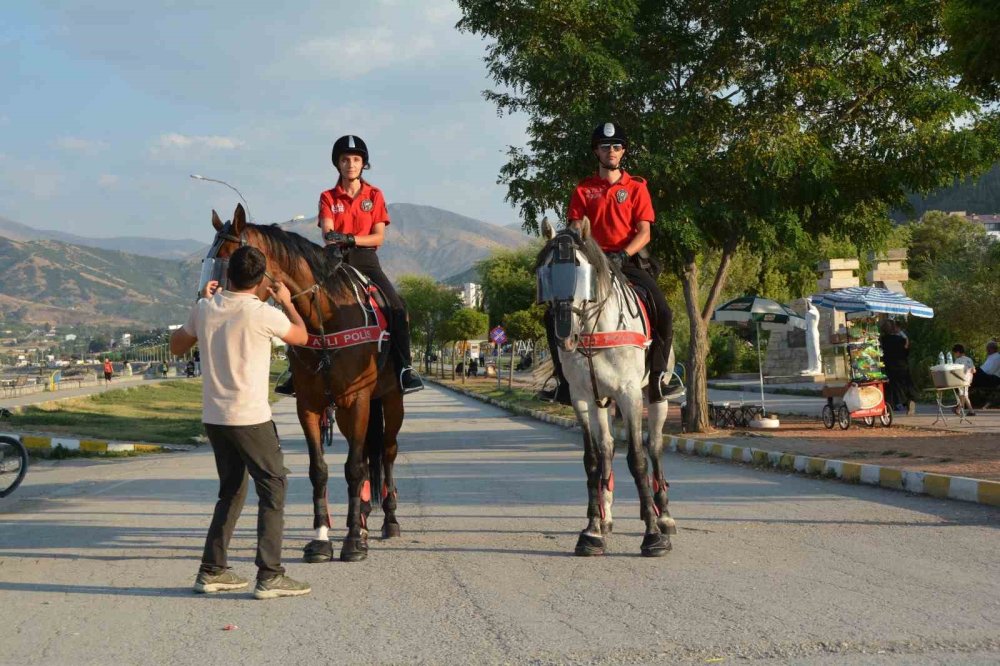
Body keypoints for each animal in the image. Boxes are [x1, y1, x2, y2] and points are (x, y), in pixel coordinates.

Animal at [209, 202, 404, 560]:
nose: (211, 301)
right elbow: (320, 470)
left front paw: (352, 541)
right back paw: (365, 519)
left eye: (229, 261)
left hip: (389, 400)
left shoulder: (357, 401)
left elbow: (354, 468)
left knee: (387, 452)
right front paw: (323, 538)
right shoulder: (310, 406)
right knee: (368, 455)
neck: (325, 317)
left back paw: (389, 520)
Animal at [540, 218, 680, 556]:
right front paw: (592, 530)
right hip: (600, 400)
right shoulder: (582, 398)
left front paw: (653, 535)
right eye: (546, 272)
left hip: (654, 396)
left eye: (580, 270)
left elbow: (638, 459)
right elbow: (592, 460)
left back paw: (664, 515)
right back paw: (605, 515)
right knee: (607, 447)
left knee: (655, 447)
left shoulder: (629, 395)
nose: (565, 335)